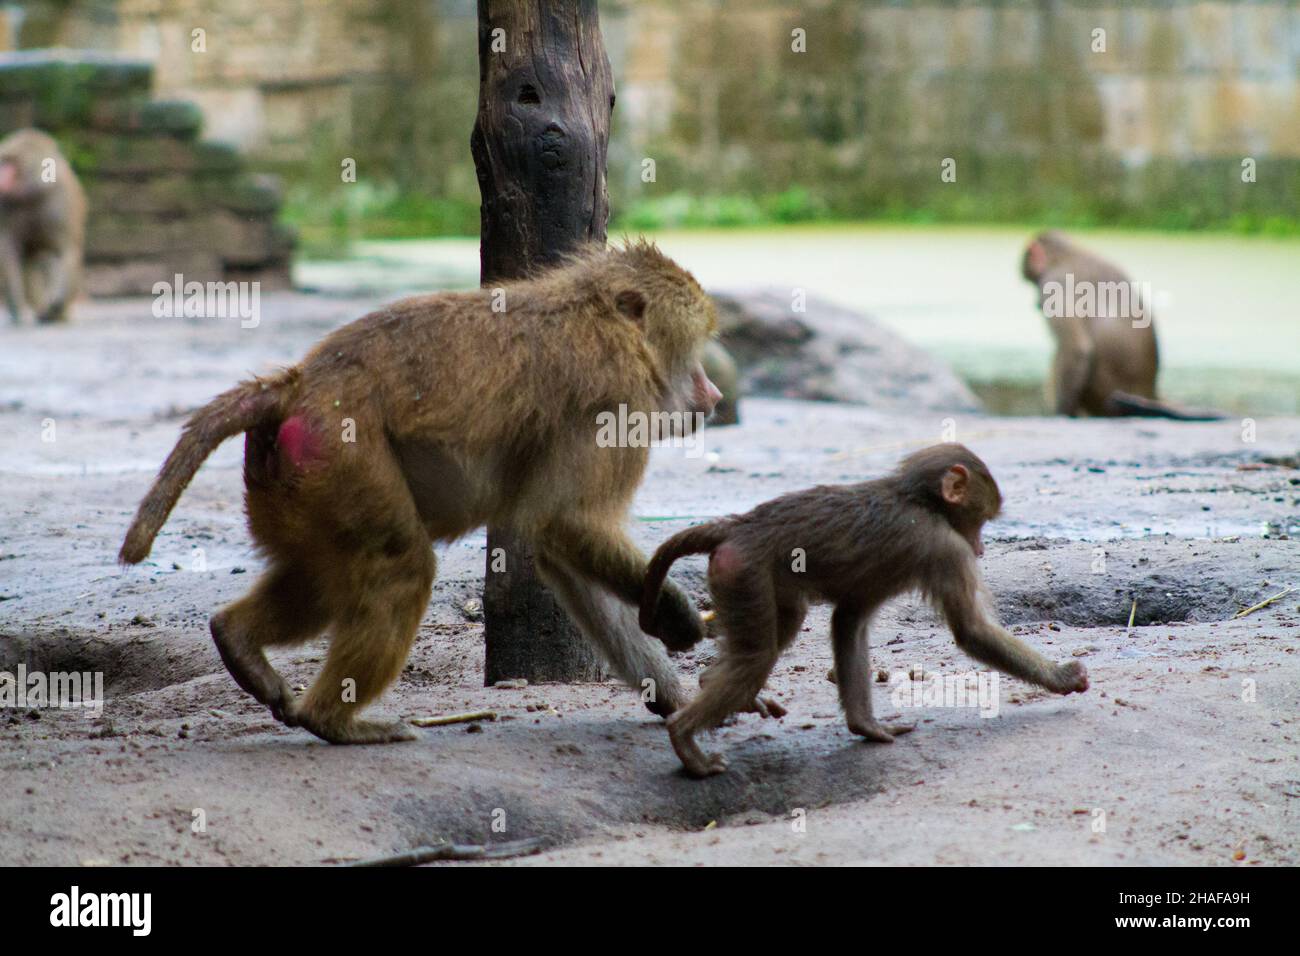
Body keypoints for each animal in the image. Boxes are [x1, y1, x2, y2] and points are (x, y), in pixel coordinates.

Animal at [0, 129, 86, 325]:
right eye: (3, 161)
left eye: (11, 163)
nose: (0, 177)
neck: (32, 194)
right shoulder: (5, 205)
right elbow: (10, 253)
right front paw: (17, 311)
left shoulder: (59, 201)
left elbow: (64, 251)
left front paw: (57, 303)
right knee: (31, 260)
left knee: (49, 258)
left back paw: (55, 313)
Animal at [119, 241, 736, 745]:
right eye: (695, 349)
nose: (714, 394)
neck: (598, 316)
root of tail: (299, 383)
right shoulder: (615, 402)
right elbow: (569, 523)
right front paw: (676, 615)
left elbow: (559, 548)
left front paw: (675, 698)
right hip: (345, 455)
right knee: (401, 565)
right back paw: (333, 721)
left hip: (290, 480)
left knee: (322, 575)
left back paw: (239, 641)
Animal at [639, 443, 1089, 777]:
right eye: (981, 520)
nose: (980, 548)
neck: (918, 500)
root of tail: (739, 524)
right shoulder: (945, 547)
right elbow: (972, 630)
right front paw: (1064, 676)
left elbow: (849, 621)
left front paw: (867, 728)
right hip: (743, 571)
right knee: (755, 658)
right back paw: (685, 739)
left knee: (777, 632)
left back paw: (716, 688)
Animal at [1021, 231, 1220, 420]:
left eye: (1033, 283)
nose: (1035, 303)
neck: (1066, 255)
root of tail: (1149, 394)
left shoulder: (1052, 283)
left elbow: (1077, 349)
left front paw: (1063, 413)